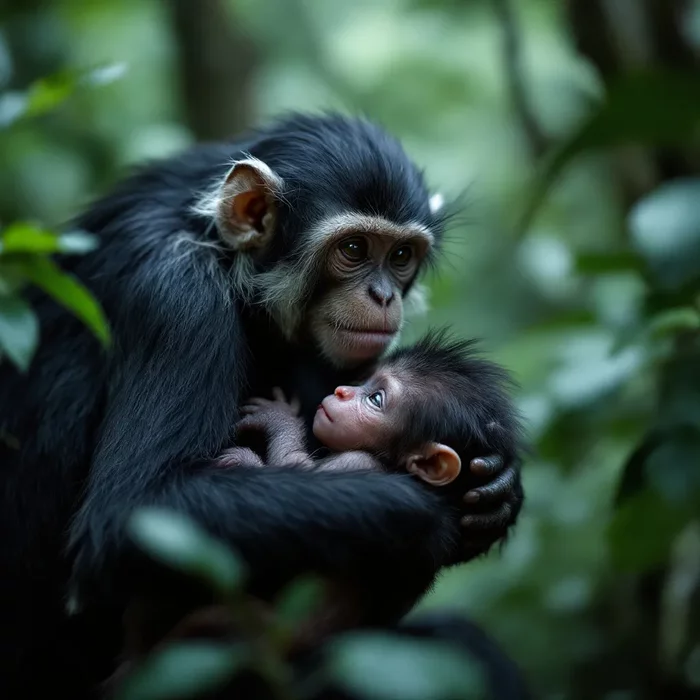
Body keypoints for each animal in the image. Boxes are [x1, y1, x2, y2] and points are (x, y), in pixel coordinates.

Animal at [0, 112, 524, 696]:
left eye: (401, 255)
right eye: (354, 250)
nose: (384, 295)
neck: (225, 254)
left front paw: (496, 485)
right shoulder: (178, 297)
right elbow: (133, 511)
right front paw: (434, 516)